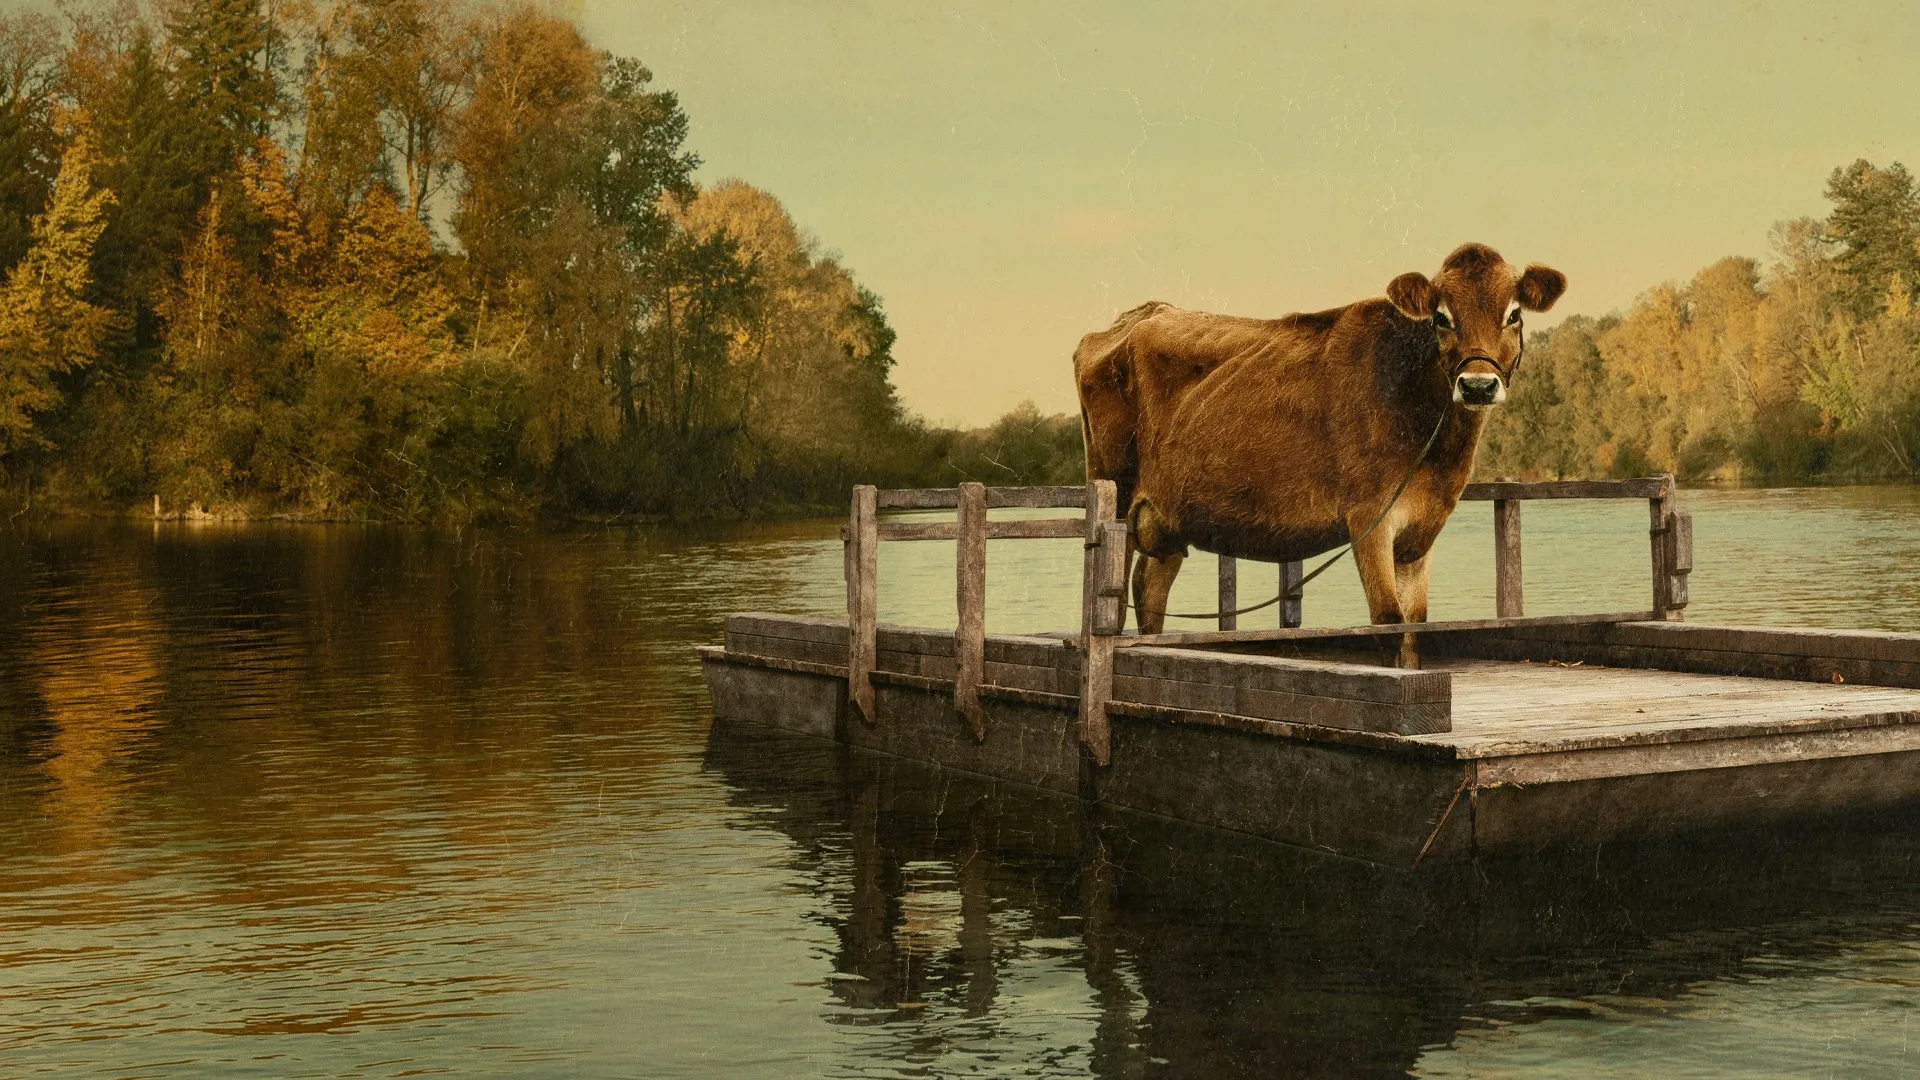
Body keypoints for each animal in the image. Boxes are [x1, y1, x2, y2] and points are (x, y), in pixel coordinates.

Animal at [1073, 243, 1566, 667]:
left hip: (1169, 515)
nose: (1478, 385)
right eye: (1441, 318)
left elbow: (1415, 628)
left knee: (1149, 589)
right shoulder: (1370, 517)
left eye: (1514, 314)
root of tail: (1137, 316)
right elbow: (1387, 623)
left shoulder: (1421, 531)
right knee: (1111, 599)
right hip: (1116, 494)